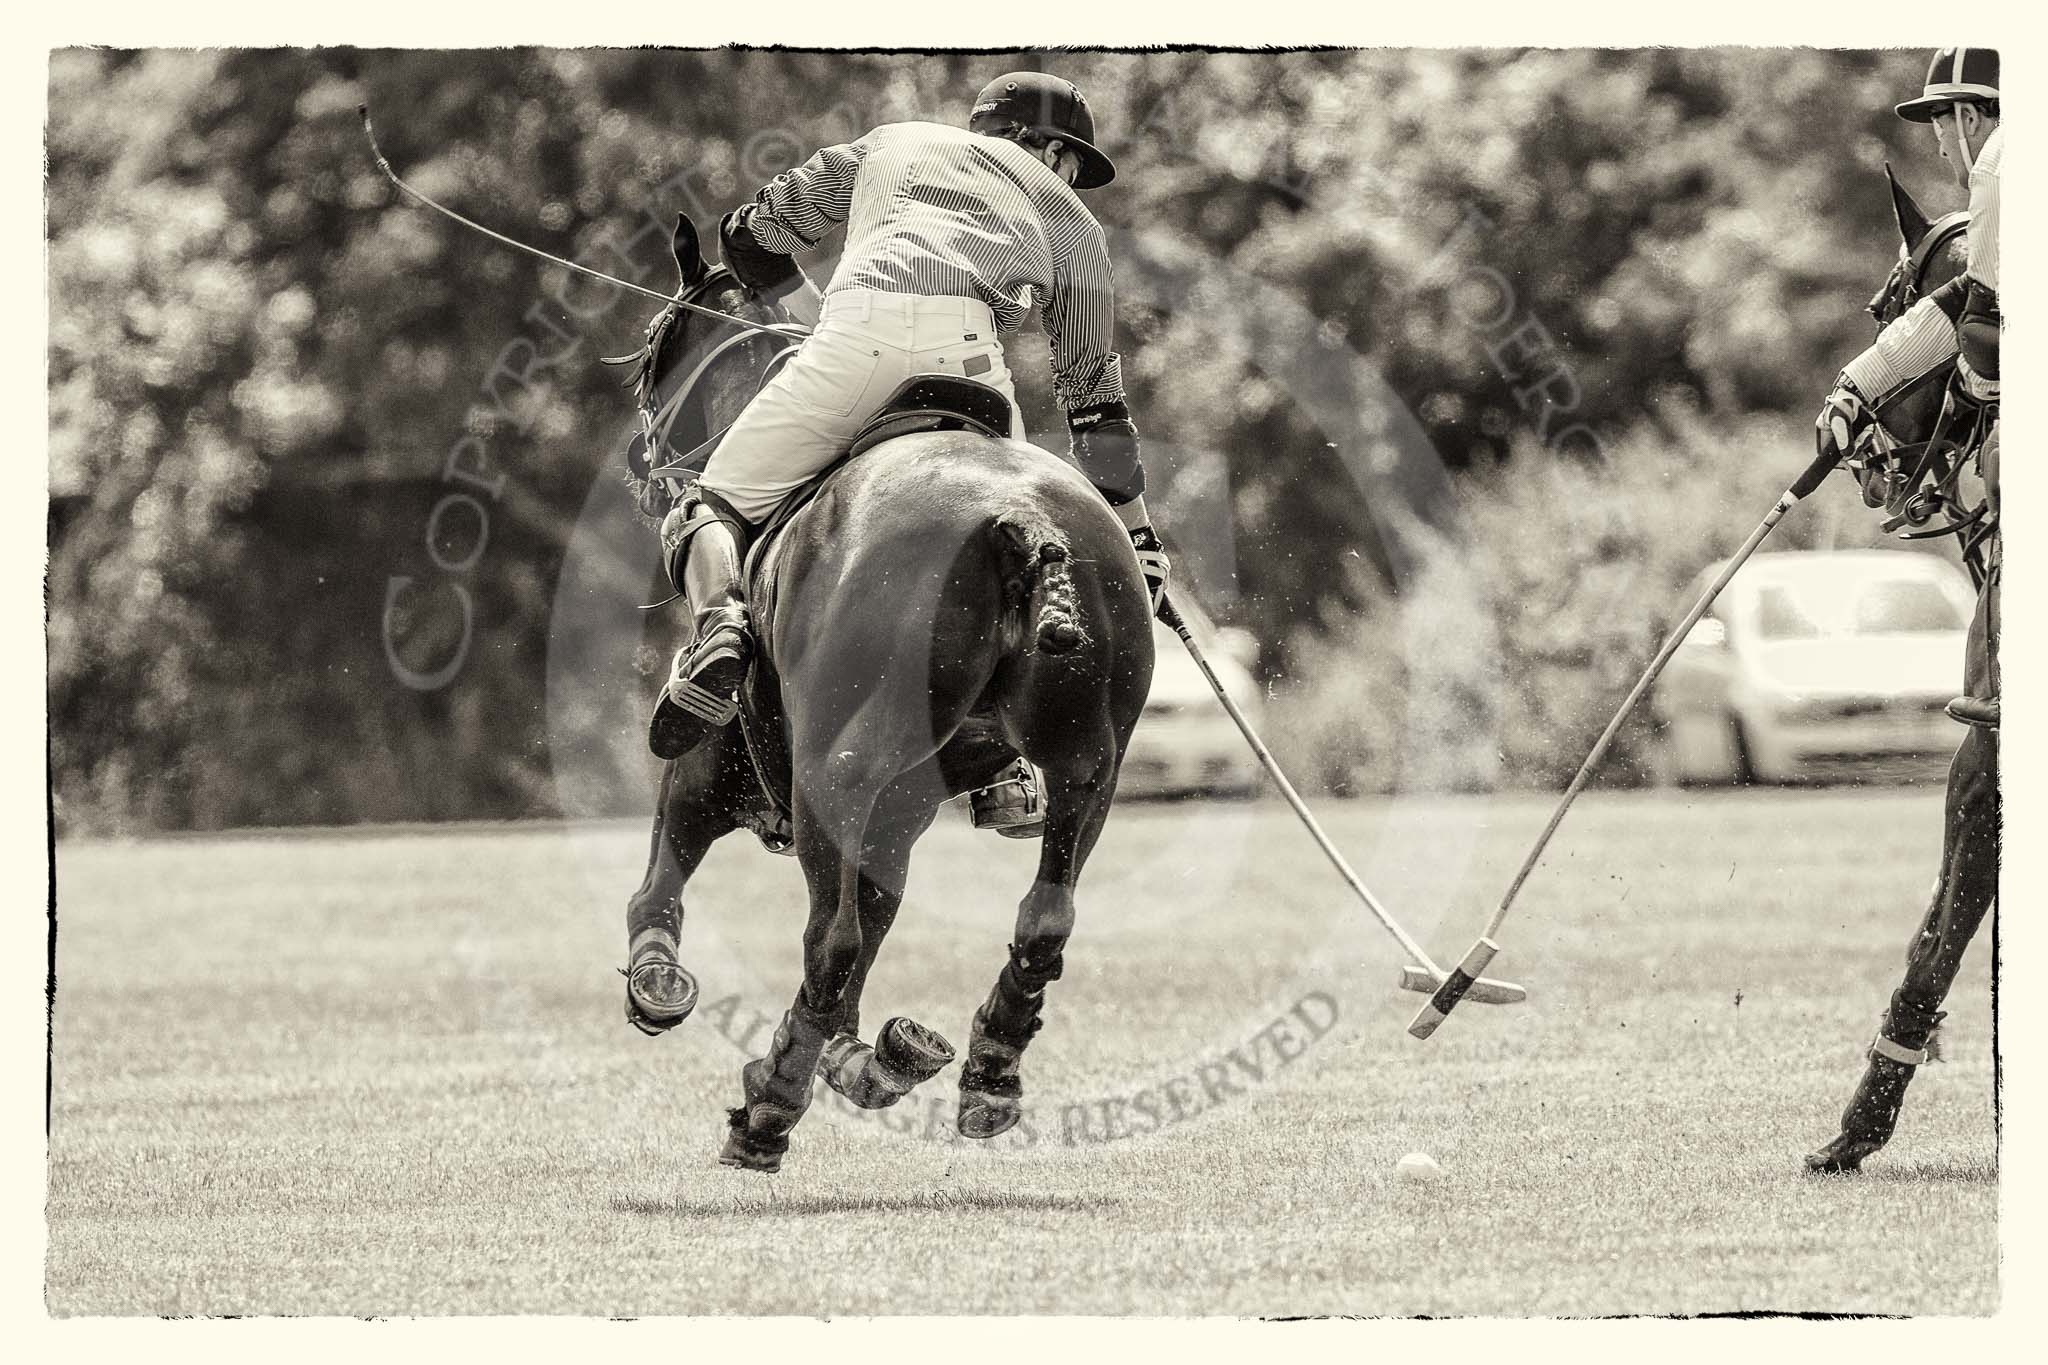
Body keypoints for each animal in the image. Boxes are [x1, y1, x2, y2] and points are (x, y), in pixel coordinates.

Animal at [606, 213, 1155, 1178]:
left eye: (653, 343)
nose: (643, 459)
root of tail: (1023, 522)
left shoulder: (713, 773)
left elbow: (659, 887)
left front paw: (657, 986)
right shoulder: (902, 812)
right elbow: (876, 920)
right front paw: (874, 1057)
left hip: (840, 771)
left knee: (831, 942)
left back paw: (767, 1111)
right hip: (1091, 761)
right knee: (1044, 915)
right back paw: (985, 1072)